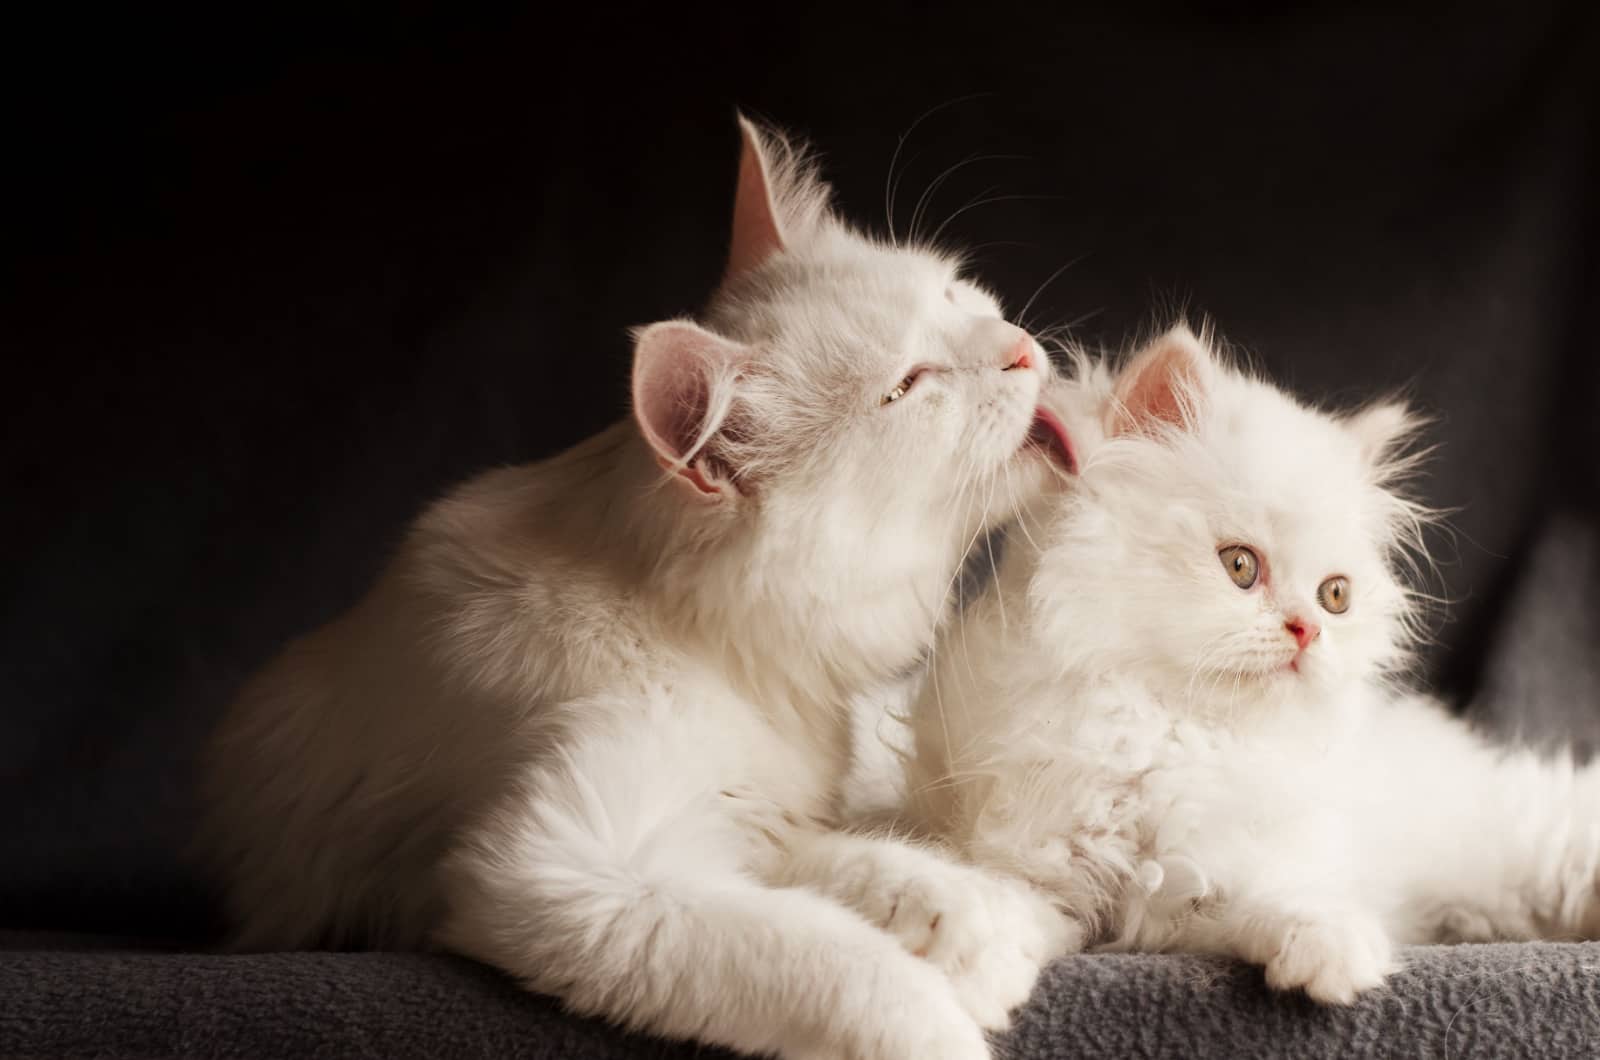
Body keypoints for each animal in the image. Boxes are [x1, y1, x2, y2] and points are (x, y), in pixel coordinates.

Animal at [196, 118, 1075, 1060]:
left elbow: (860, 864)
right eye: (909, 387)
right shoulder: (572, 874)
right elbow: (833, 957)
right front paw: (941, 1011)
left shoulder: (751, 822)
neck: (714, 641)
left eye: (952, 293)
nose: (1020, 347)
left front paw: (972, 928)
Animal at [908, 328, 1600, 1011]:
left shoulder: (1243, 866)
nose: (1307, 630)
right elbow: (1001, 903)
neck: (1169, 730)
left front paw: (1333, 957)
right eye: (1240, 566)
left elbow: (1286, 893)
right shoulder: (1047, 868)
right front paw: (961, 959)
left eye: (1334, 596)